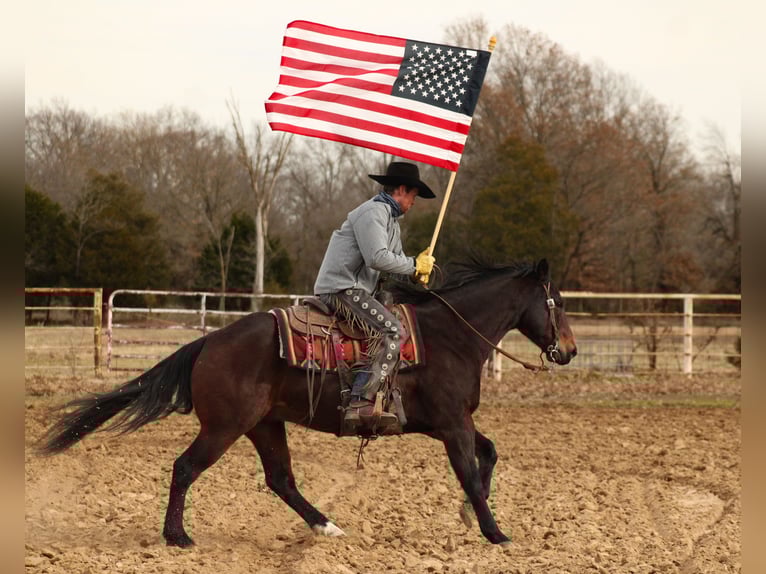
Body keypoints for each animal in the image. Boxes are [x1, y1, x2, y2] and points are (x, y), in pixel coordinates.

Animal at [38, 257, 577, 547]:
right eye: (558, 302)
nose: (569, 350)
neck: (452, 337)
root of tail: (209, 341)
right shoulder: (452, 424)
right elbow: (469, 469)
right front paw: (495, 532)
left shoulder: (453, 422)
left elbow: (489, 454)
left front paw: (470, 514)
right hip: (223, 428)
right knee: (185, 468)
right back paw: (178, 537)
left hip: (264, 425)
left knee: (281, 480)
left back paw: (327, 526)